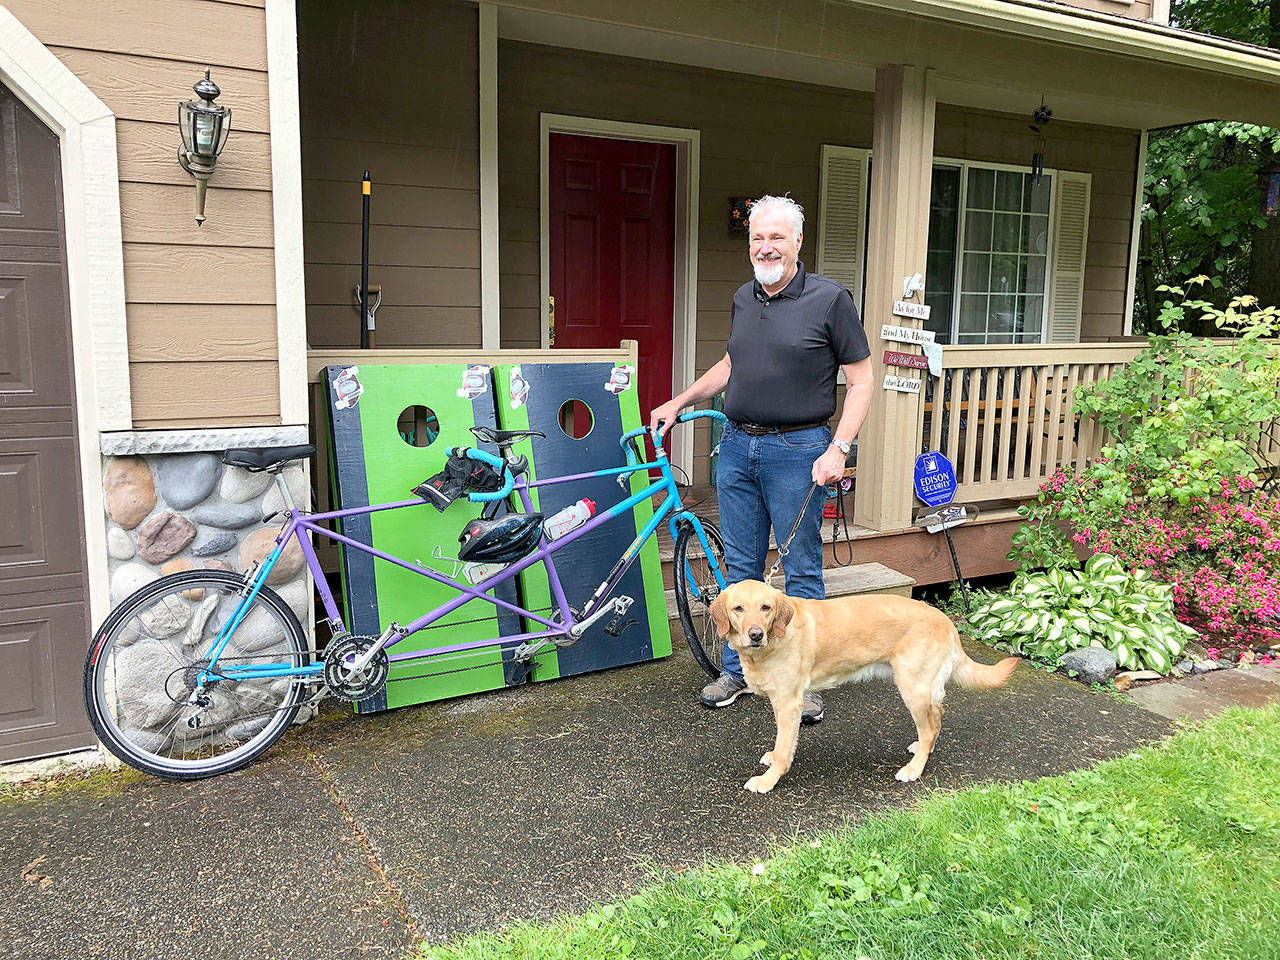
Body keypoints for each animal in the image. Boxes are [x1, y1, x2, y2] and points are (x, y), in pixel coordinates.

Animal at [706, 583, 1013, 793]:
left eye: (766, 607)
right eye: (738, 609)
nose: (755, 634)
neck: (772, 643)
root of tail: (946, 621)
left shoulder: (789, 703)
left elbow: (784, 747)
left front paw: (768, 781)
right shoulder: (780, 703)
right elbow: (780, 741)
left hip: (913, 689)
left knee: (929, 727)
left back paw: (914, 769)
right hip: (925, 689)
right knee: (935, 721)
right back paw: (923, 750)